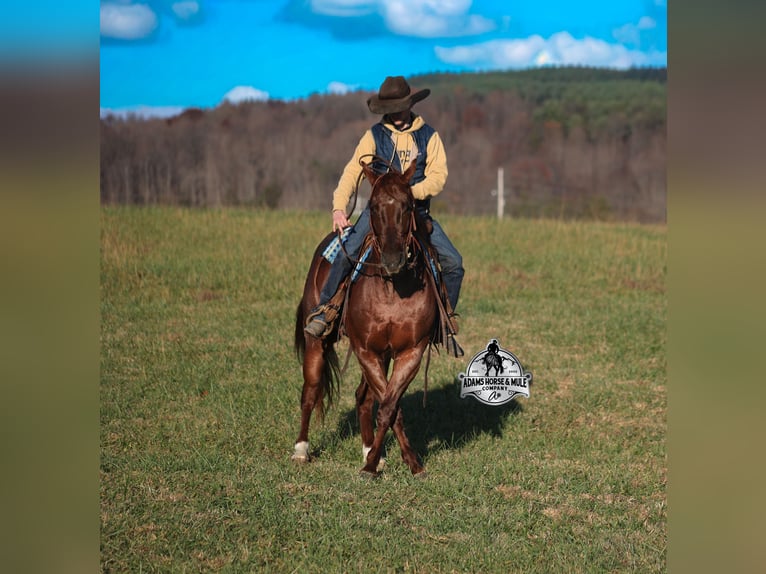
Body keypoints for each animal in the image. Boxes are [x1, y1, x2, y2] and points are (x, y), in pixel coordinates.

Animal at [292, 159, 437, 477]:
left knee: (363, 397)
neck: (393, 288)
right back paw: (301, 450)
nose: (393, 260)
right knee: (310, 391)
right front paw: (372, 466)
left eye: (408, 205)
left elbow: (389, 406)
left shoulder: (410, 351)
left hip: (383, 355)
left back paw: (370, 448)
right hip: (318, 343)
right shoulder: (365, 349)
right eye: (373, 206)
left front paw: (404, 462)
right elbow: (388, 406)